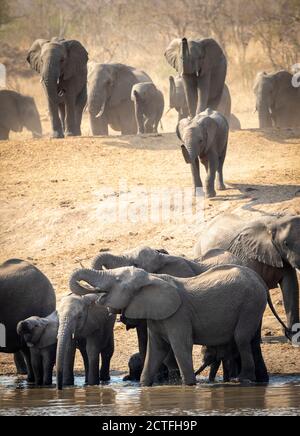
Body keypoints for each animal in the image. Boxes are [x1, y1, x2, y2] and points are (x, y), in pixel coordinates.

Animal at [69, 266, 268, 384]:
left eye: (117, 280)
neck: (152, 277)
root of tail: (259, 279)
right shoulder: (156, 315)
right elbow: (156, 350)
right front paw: (144, 386)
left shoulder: (179, 315)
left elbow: (180, 346)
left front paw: (189, 385)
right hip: (253, 305)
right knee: (252, 341)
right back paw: (260, 381)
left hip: (251, 303)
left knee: (241, 338)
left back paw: (242, 381)